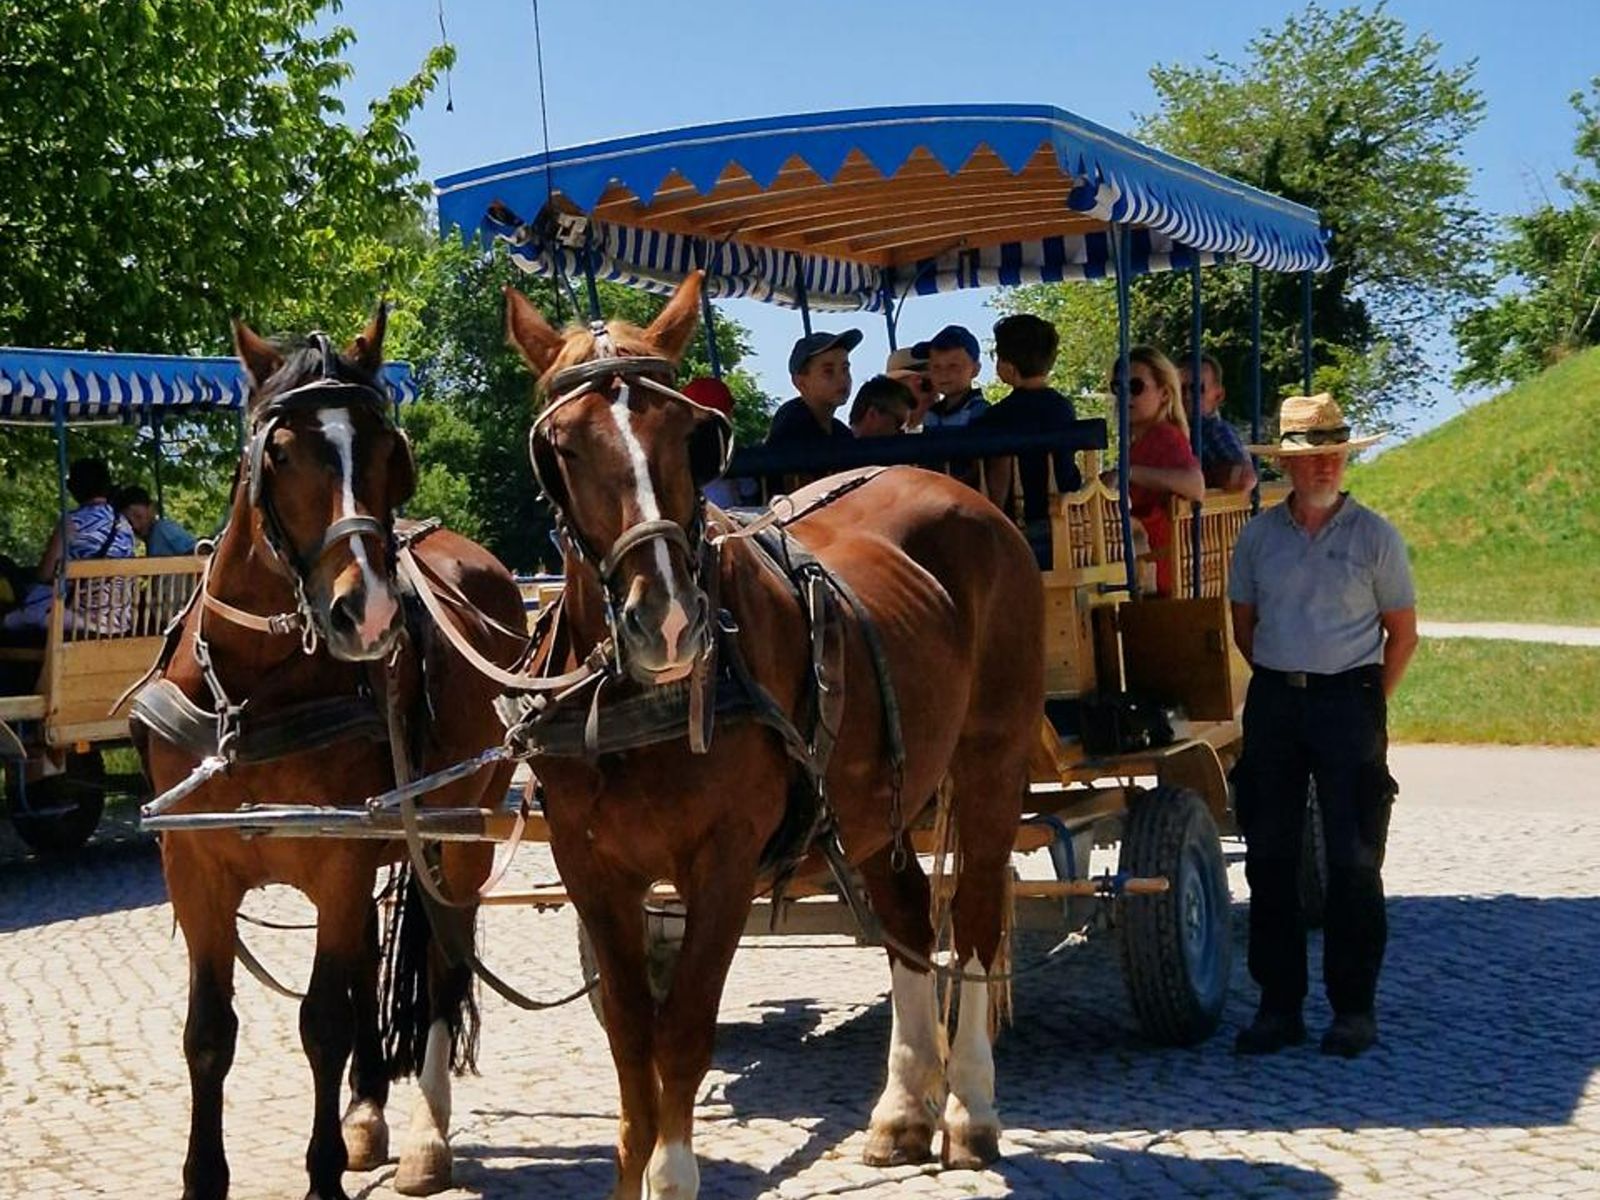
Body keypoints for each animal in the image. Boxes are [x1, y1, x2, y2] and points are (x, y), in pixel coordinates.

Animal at [136, 310, 524, 1200]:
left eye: (390, 450)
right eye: (280, 454)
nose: (368, 613)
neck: (253, 693)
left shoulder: (336, 860)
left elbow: (323, 1022)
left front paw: (320, 1178)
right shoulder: (194, 866)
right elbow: (210, 1032)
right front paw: (206, 1177)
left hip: (459, 835)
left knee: (442, 964)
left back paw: (423, 1136)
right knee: (371, 964)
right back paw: (367, 1113)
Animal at [505, 275, 1043, 1200]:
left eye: (692, 438)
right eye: (562, 448)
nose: (666, 621)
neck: (640, 704)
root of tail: (962, 496)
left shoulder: (723, 863)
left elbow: (684, 1029)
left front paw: (673, 1174)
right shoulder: (590, 868)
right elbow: (631, 1039)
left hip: (991, 762)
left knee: (973, 918)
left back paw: (970, 1110)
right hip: (872, 798)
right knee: (906, 914)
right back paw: (903, 1112)